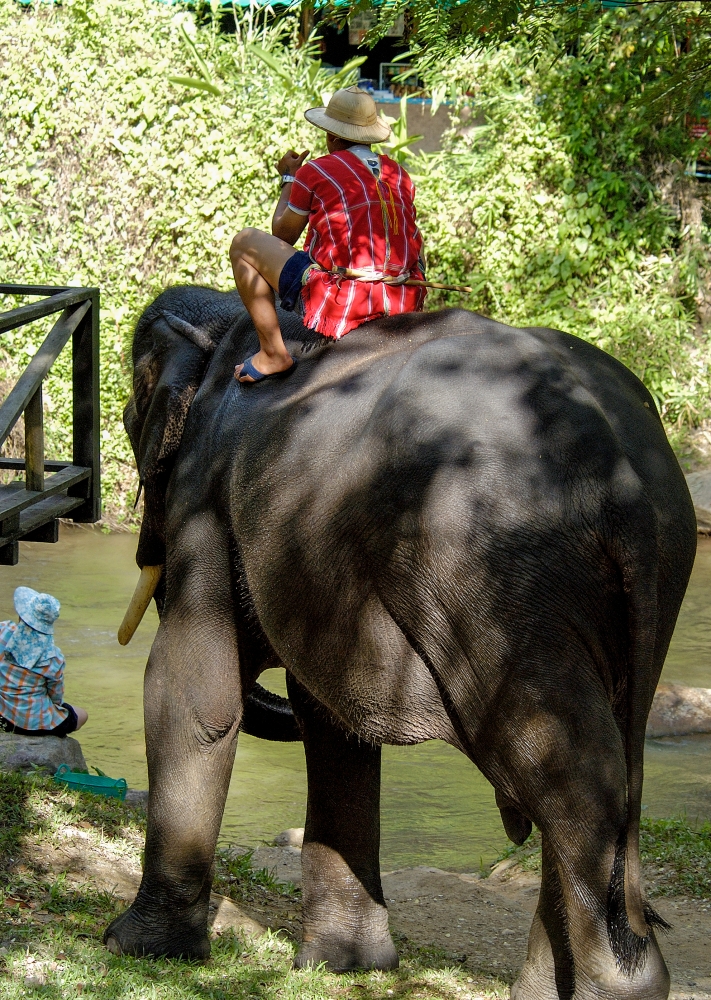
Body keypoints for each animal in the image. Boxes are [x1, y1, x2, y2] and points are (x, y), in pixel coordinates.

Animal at [105, 284, 696, 1000]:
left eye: (129, 417)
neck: (221, 332)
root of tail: (620, 469)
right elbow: (331, 726)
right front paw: (345, 967)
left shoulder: (206, 500)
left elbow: (193, 696)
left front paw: (134, 948)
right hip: (654, 568)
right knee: (617, 757)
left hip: (495, 574)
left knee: (568, 772)